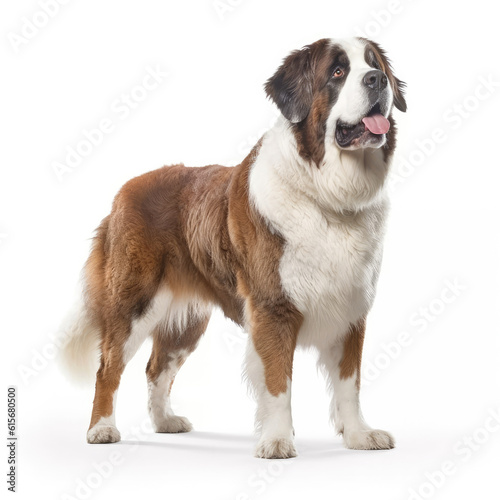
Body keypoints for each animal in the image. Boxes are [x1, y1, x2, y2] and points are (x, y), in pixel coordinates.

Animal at [61, 37, 406, 458]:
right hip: (133, 303)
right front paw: (277, 441)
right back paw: (102, 429)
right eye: (338, 72)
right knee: (108, 367)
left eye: (376, 66)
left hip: (186, 321)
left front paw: (358, 435)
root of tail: (123, 193)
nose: (377, 81)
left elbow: (349, 383)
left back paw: (164, 422)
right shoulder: (273, 309)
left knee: (157, 367)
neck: (330, 195)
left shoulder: (351, 309)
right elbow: (278, 382)